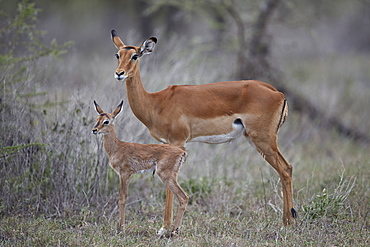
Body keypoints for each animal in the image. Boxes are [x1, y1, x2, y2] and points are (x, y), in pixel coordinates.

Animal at [92, 100, 189, 237]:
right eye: (97, 119)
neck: (117, 147)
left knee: (183, 196)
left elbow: (122, 198)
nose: (94, 130)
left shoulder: (125, 174)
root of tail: (182, 151)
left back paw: (173, 231)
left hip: (166, 176)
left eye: (106, 121)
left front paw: (120, 229)